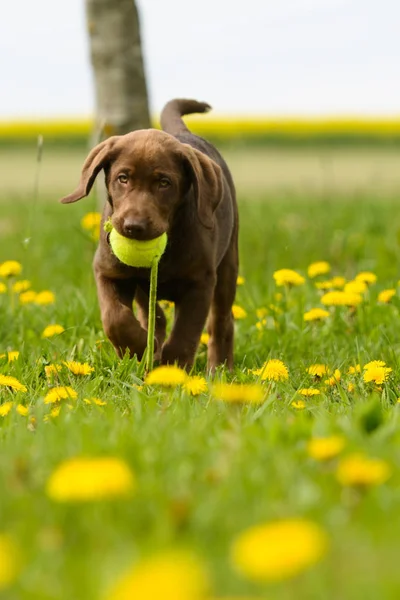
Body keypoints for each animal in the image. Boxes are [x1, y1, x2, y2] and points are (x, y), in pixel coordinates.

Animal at [61, 99, 239, 370]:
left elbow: (185, 334)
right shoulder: (108, 271)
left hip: (228, 263)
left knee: (221, 321)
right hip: (140, 284)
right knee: (155, 316)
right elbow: (115, 318)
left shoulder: (200, 281)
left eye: (164, 183)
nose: (133, 226)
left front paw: (172, 369)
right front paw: (138, 349)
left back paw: (219, 370)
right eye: (123, 178)